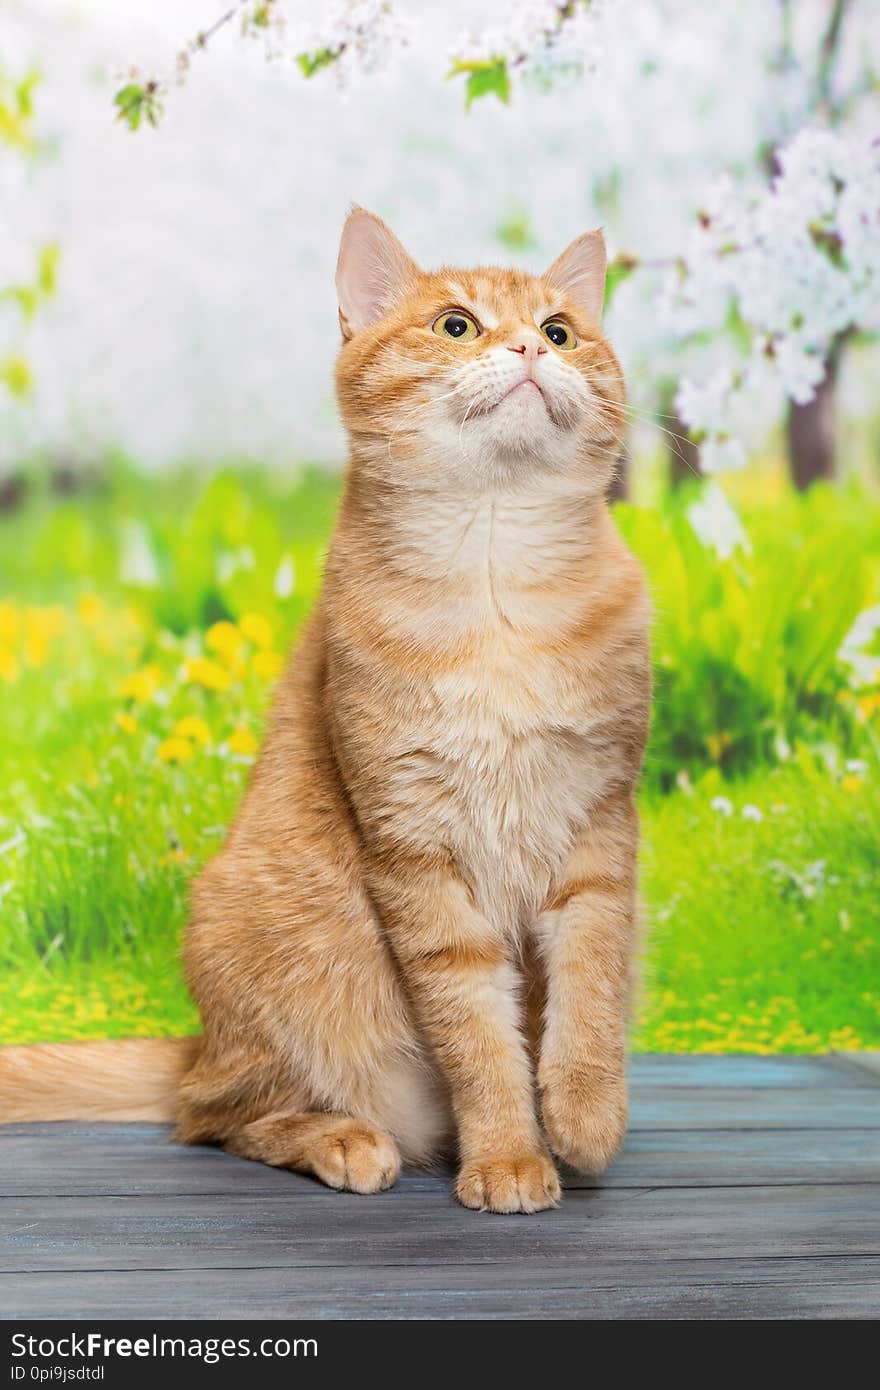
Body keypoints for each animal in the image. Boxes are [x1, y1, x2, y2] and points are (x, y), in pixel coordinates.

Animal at [0, 208, 645, 1217]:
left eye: (561, 330)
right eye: (456, 325)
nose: (530, 350)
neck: (496, 584)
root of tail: (204, 1037)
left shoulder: (600, 827)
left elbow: (590, 991)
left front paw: (583, 1115)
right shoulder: (413, 850)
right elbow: (478, 1037)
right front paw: (507, 1153)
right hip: (281, 969)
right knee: (212, 1114)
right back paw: (344, 1139)